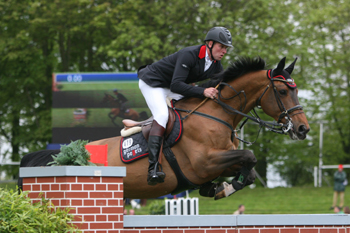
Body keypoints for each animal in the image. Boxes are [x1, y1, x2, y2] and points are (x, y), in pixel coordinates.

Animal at [19, 57, 308, 200]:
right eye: (283, 91)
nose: (302, 128)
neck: (218, 115)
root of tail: (57, 156)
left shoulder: (222, 162)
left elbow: (249, 169)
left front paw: (219, 188)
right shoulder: (205, 162)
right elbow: (249, 156)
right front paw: (225, 188)